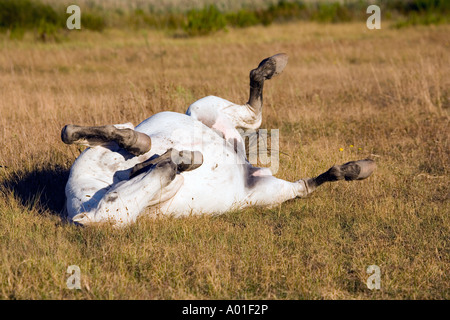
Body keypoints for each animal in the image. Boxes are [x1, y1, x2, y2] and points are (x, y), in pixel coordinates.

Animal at [60, 53, 376, 226]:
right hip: (269, 193)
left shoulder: (119, 145)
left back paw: (271, 65)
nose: (177, 166)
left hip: (203, 107)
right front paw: (179, 159)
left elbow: (119, 137)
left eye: (113, 197)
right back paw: (357, 168)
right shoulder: (160, 190)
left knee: (253, 110)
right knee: (306, 185)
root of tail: (248, 165)